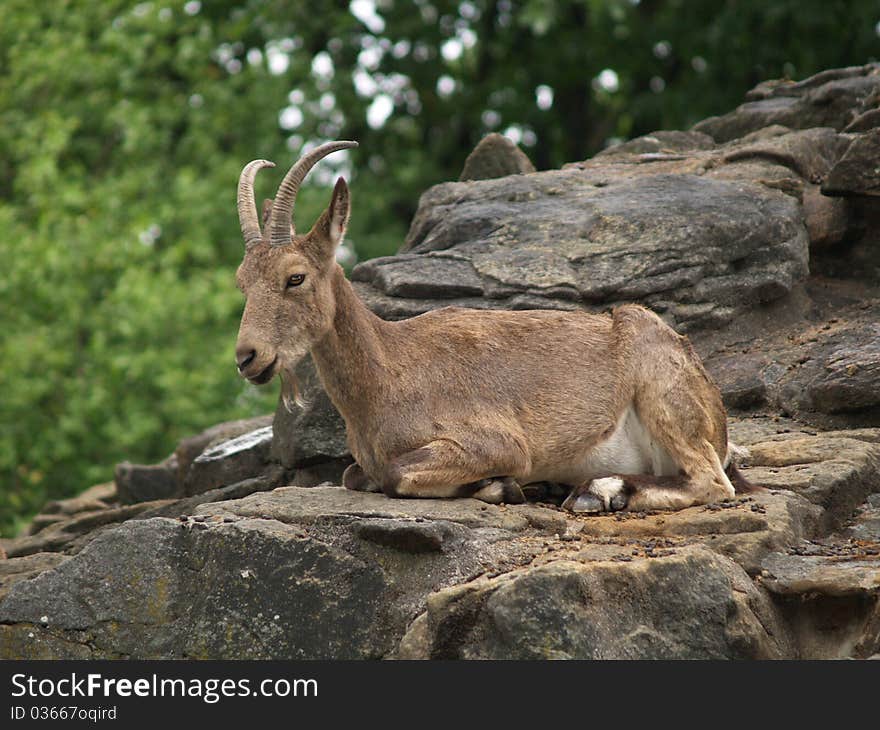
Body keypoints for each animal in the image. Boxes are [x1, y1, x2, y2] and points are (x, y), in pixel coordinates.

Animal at [232, 139, 748, 510]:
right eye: (242, 281)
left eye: (295, 276)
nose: (247, 357)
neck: (388, 375)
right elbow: (354, 476)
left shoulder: (499, 443)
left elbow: (397, 474)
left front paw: (501, 487)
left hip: (662, 396)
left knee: (712, 482)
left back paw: (596, 491)